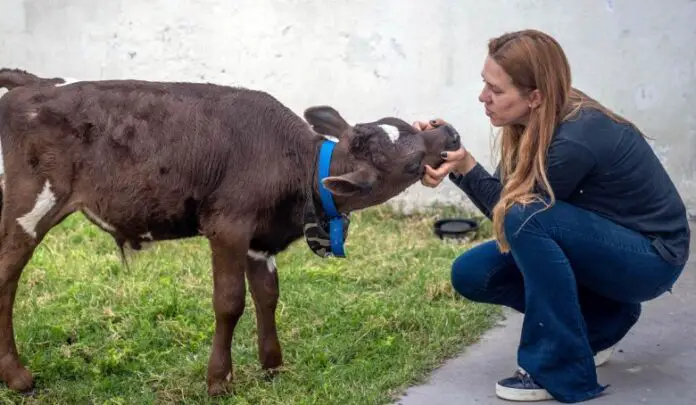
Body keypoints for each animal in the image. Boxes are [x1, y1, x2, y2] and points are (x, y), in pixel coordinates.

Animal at [0, 68, 461, 396]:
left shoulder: (260, 240)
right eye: (409, 163)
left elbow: (267, 295)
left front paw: (273, 365)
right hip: (29, 205)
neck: (298, 168)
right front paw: (219, 380)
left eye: (406, 125)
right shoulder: (228, 225)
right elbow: (230, 302)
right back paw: (18, 378)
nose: (450, 131)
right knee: (7, 276)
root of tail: (35, 83)